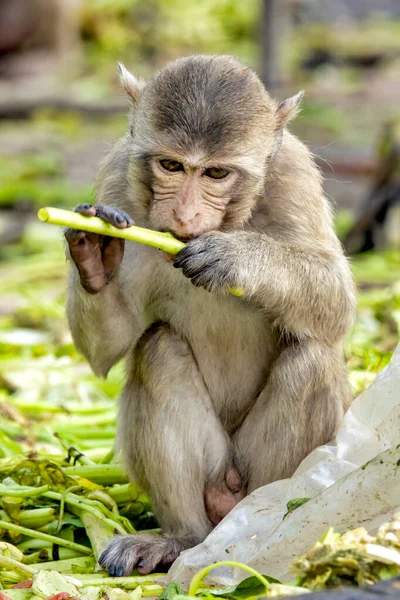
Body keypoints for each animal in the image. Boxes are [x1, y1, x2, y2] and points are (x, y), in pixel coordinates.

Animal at [65, 55, 356, 576]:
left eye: (216, 173)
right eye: (171, 165)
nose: (184, 215)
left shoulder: (294, 173)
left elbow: (337, 300)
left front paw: (235, 257)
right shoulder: (117, 175)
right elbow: (107, 350)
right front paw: (95, 252)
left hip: (252, 469)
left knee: (313, 358)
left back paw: (260, 530)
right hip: (214, 473)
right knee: (157, 348)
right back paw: (182, 540)